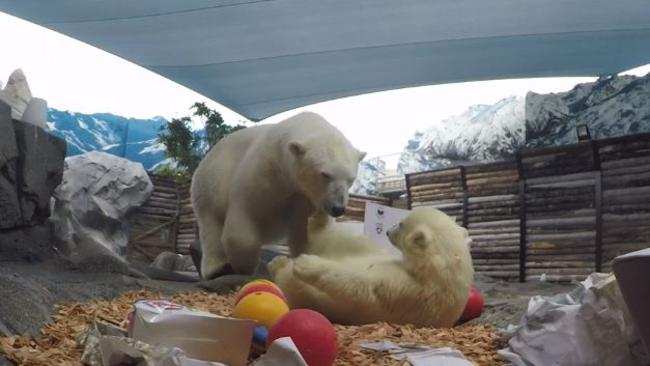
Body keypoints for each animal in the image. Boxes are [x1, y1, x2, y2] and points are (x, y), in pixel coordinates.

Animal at [191, 111, 364, 280]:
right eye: (325, 174)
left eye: (351, 178)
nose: (338, 208)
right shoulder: (264, 171)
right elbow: (245, 215)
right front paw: (245, 267)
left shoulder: (305, 198)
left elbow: (305, 232)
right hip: (212, 181)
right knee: (211, 223)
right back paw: (218, 268)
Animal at [266, 207, 474, 328]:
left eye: (400, 224)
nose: (388, 231)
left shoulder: (407, 292)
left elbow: (361, 288)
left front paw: (307, 264)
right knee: (341, 238)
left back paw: (280, 263)